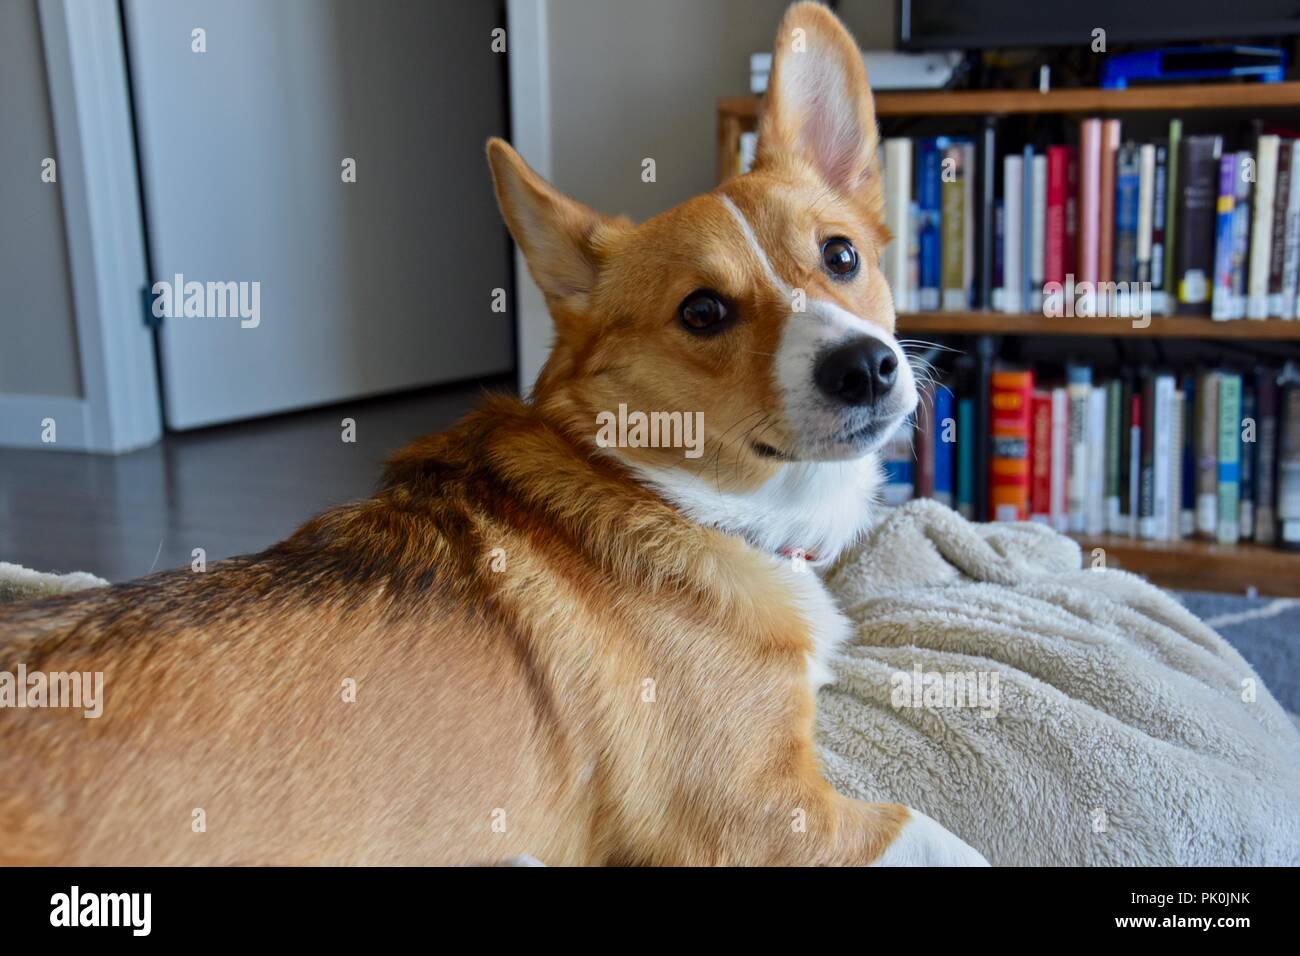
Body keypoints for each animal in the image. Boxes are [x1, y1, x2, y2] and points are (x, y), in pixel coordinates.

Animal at [0, 1, 982, 868]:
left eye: (842, 256)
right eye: (702, 312)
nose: (867, 367)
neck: (674, 494)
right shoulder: (761, 819)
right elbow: (939, 833)